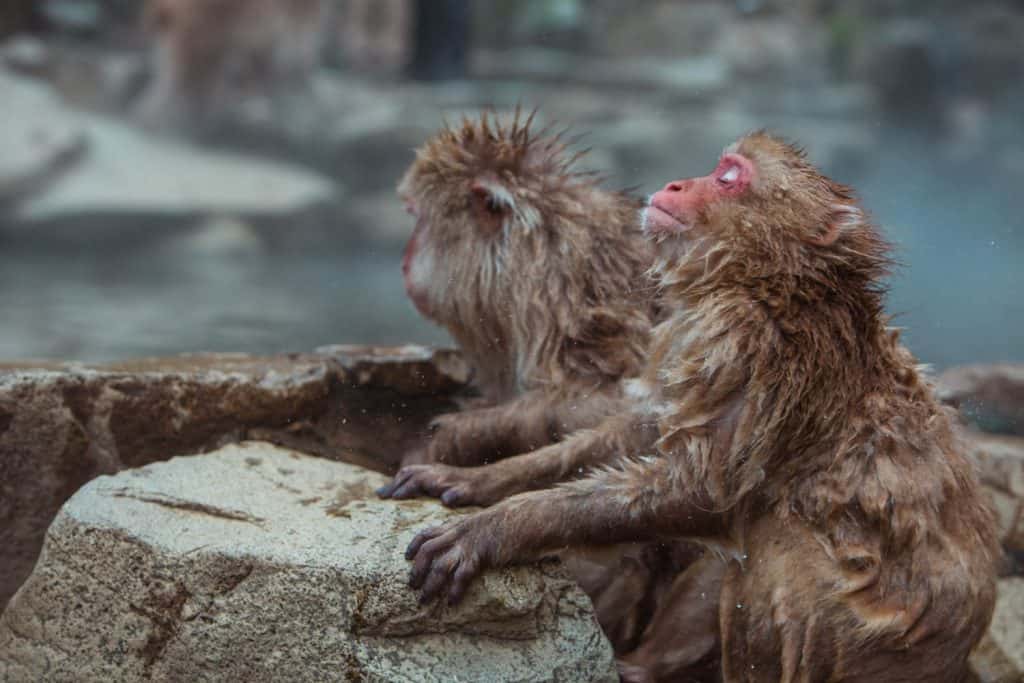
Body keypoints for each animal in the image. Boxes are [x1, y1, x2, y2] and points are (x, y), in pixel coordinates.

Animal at [402, 131, 1001, 682]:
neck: (768, 282)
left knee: (773, 541)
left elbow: (700, 493)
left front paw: (499, 528)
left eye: (728, 177)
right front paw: (477, 476)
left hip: (871, 646)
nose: (674, 184)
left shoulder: (754, 347)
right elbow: (641, 432)